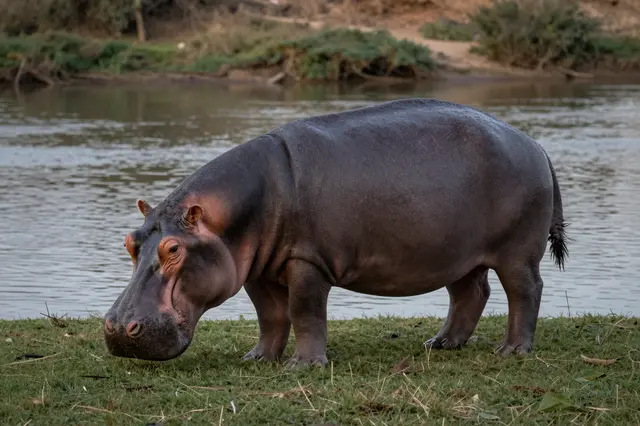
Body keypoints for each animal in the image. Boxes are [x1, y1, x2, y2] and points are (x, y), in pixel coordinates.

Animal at [104, 98, 568, 367]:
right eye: (129, 242)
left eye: (173, 249)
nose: (117, 329)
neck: (228, 216)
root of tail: (536, 145)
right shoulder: (255, 268)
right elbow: (270, 316)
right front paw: (256, 359)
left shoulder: (307, 260)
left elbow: (305, 312)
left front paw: (303, 366)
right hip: (457, 252)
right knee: (471, 292)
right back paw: (440, 344)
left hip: (516, 251)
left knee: (525, 291)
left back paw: (512, 351)